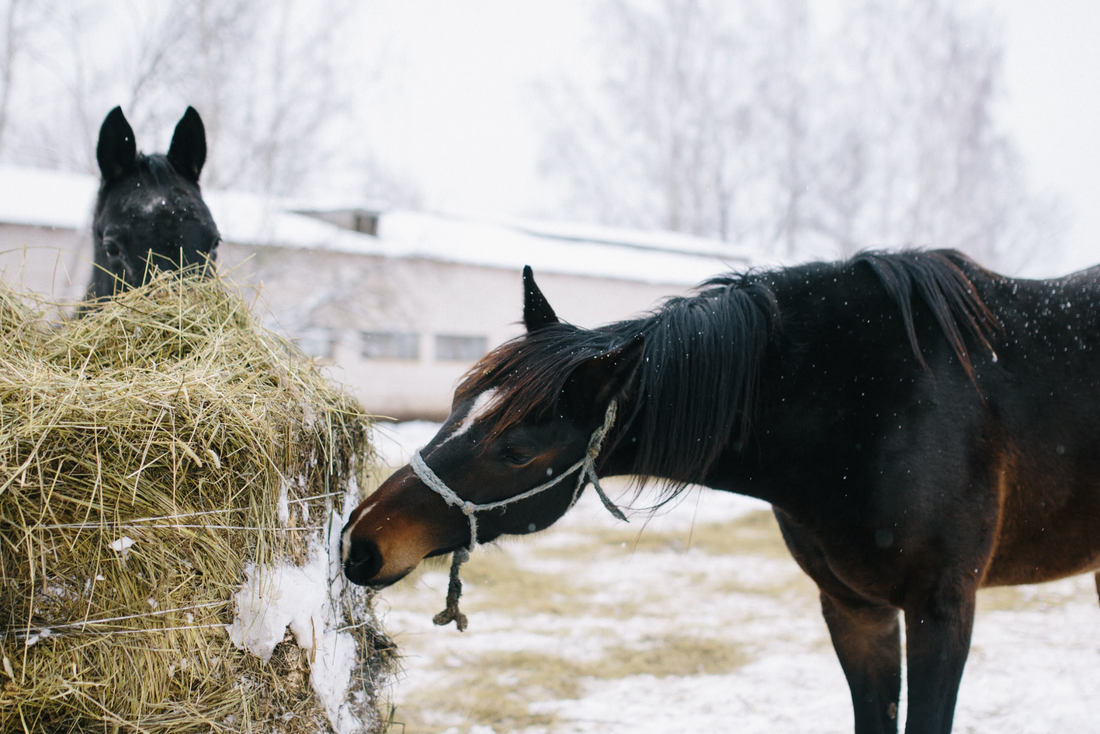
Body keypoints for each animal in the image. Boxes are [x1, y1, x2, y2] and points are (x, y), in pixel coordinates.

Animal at [341, 251, 1100, 734]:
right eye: (455, 404)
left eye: (517, 451)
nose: (360, 543)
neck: (868, 401)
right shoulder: (855, 610)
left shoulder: (943, 608)